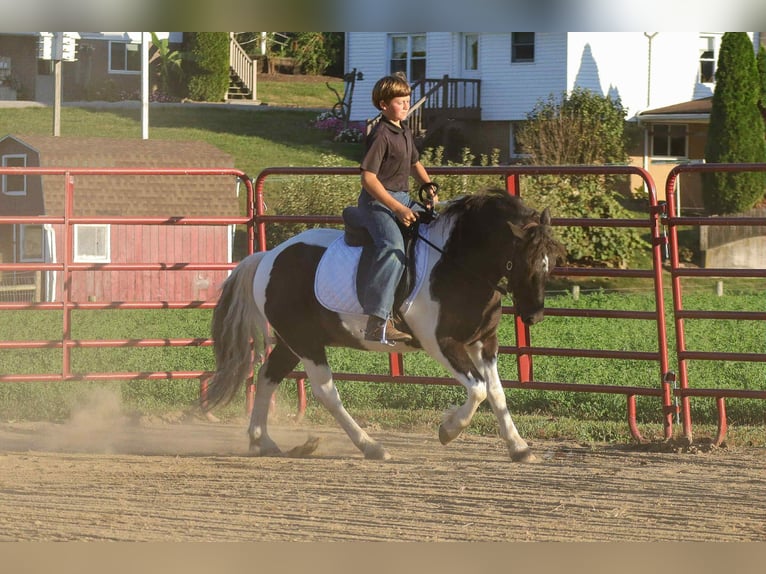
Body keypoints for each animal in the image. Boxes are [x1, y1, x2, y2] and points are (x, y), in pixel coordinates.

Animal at [204, 188, 566, 461]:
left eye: (551, 262)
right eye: (522, 261)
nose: (534, 315)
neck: (456, 265)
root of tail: (267, 257)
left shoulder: (484, 343)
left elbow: (496, 392)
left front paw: (518, 447)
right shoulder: (441, 343)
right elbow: (477, 389)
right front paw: (448, 429)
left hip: (293, 342)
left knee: (268, 376)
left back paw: (262, 440)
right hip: (305, 343)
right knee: (326, 391)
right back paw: (371, 446)